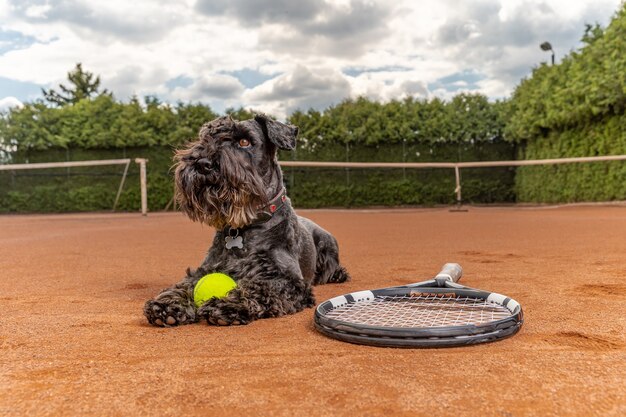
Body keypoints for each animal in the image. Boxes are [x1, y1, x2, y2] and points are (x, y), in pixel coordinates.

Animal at [143, 114, 348, 324]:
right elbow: (186, 284)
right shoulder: (206, 269)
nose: (202, 163)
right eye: (206, 137)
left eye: (244, 142)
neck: (244, 227)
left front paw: (228, 304)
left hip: (327, 245)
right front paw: (169, 304)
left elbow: (260, 289)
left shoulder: (289, 281)